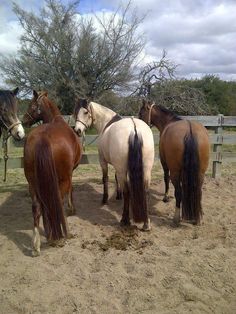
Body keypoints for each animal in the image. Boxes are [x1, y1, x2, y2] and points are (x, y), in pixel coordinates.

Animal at [23, 90, 82, 255]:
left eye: (32, 105)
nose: (23, 120)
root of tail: (42, 138)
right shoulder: (70, 174)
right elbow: (70, 192)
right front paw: (72, 209)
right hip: (62, 179)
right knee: (58, 202)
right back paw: (63, 234)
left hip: (32, 182)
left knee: (36, 206)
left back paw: (37, 244)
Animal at [74, 98, 155, 231]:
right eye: (76, 112)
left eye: (85, 112)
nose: (77, 131)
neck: (106, 122)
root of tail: (134, 128)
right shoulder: (117, 166)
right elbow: (116, 178)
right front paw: (118, 195)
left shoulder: (103, 161)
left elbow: (105, 178)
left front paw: (105, 198)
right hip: (146, 169)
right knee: (146, 191)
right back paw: (146, 223)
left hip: (123, 169)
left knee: (128, 191)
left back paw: (124, 220)